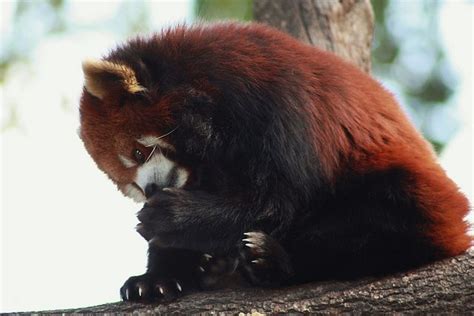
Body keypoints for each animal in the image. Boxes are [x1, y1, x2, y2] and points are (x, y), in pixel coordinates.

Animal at [78, 21, 470, 302]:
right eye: (126, 182)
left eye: (138, 153)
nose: (151, 189)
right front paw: (157, 278)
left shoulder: (277, 104)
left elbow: (276, 201)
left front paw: (170, 217)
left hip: (412, 190)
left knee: (382, 220)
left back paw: (271, 259)